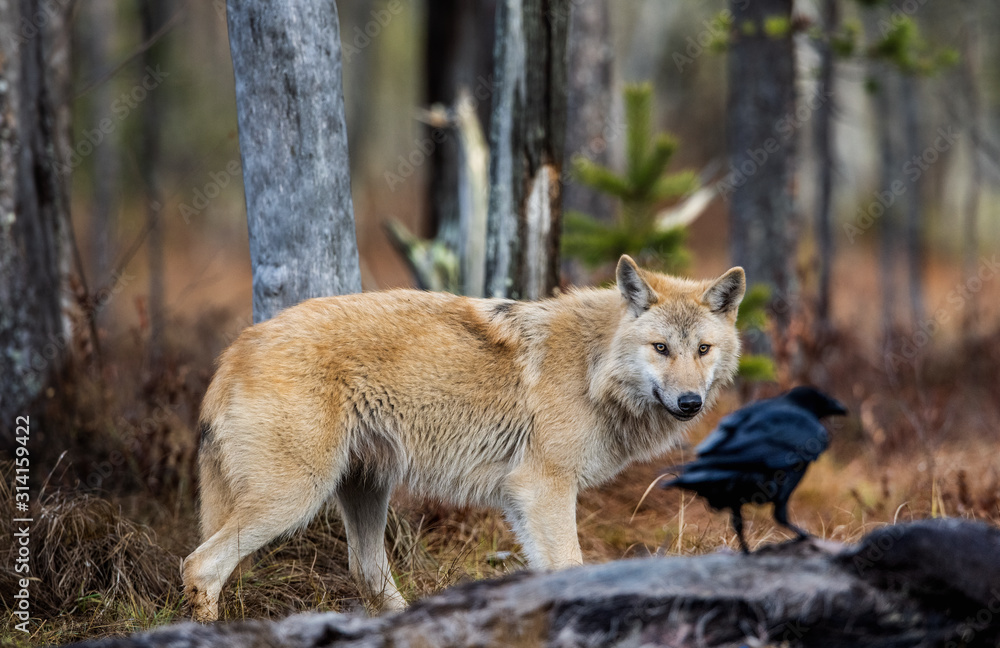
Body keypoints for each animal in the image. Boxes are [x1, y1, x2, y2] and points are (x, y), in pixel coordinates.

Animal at [182, 255, 745, 621]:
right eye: (661, 348)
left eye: (702, 349)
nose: (690, 402)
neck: (593, 366)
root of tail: (236, 348)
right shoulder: (544, 489)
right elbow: (570, 567)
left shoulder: (523, 498)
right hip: (293, 498)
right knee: (200, 566)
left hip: (364, 492)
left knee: (367, 576)